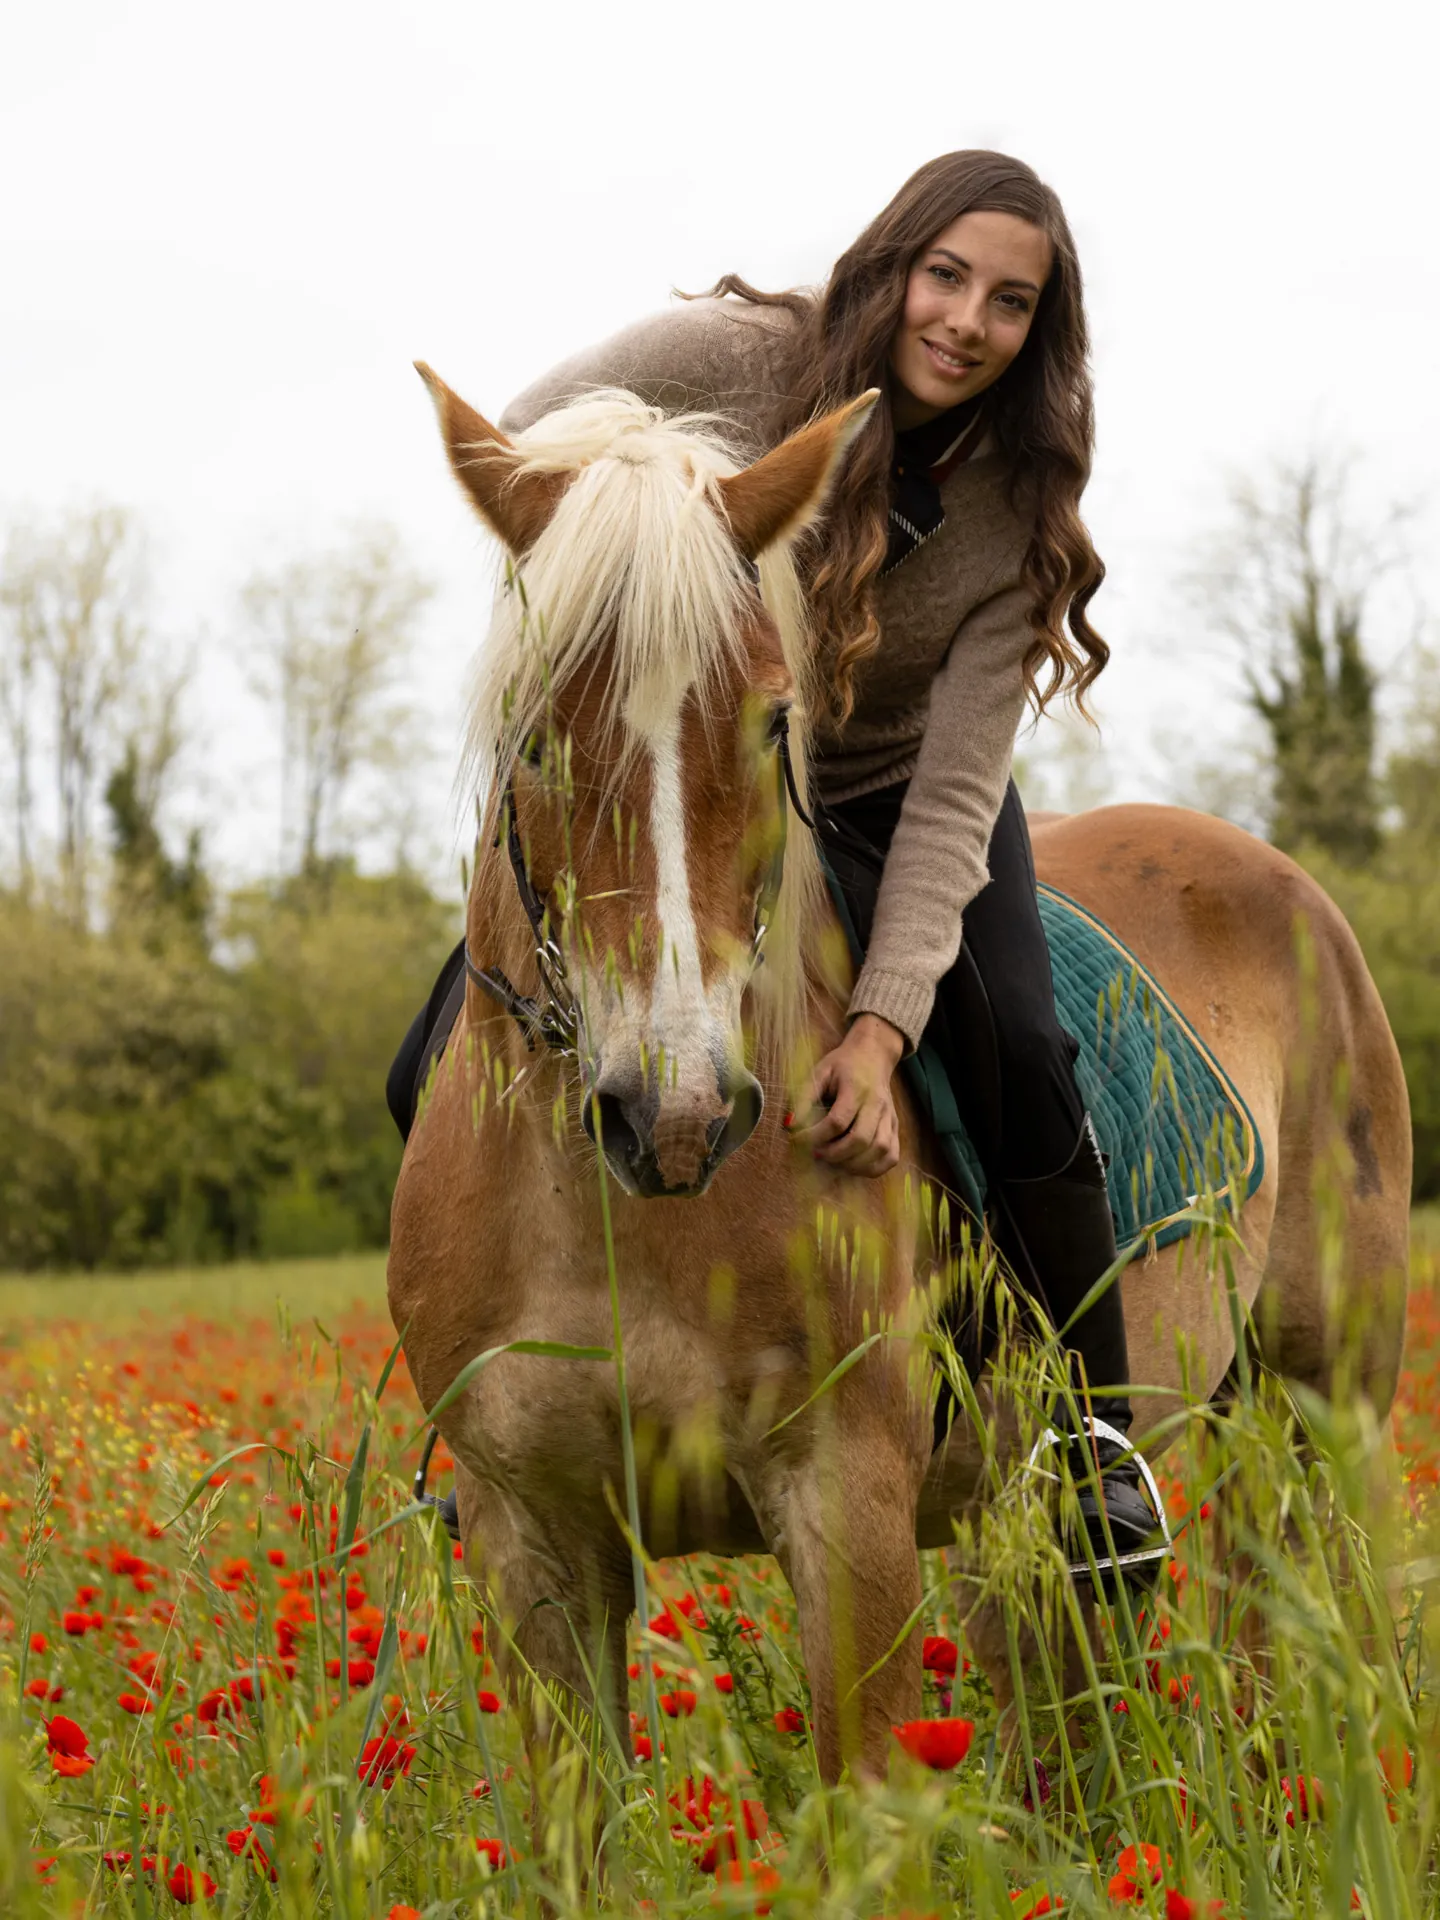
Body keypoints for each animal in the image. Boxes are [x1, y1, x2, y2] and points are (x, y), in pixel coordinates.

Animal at [387, 367, 1411, 1800]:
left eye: (773, 720)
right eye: (534, 736)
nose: (676, 1116)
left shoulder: (848, 1513)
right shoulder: (532, 1536)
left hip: (1321, 1419)